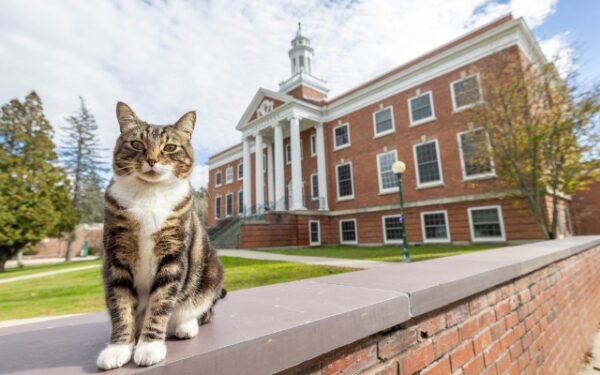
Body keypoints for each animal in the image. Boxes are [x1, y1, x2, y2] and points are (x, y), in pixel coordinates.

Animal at [97, 102, 226, 370]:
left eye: (170, 147)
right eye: (137, 144)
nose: (152, 159)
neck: (150, 194)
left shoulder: (173, 254)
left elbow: (161, 302)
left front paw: (149, 346)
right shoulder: (116, 256)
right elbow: (120, 305)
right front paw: (118, 348)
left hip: (211, 273)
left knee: (204, 311)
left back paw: (186, 325)